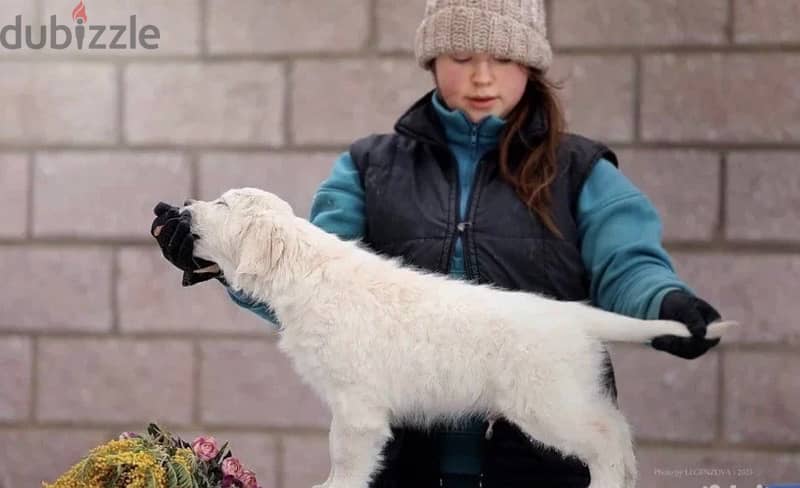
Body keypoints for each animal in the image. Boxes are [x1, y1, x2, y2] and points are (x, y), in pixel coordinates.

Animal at [186, 187, 736, 488]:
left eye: (222, 203)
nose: (186, 208)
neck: (307, 271)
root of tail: (576, 317)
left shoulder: (356, 404)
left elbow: (345, 452)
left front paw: (335, 484)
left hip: (544, 403)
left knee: (602, 439)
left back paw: (605, 482)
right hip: (569, 394)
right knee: (618, 429)